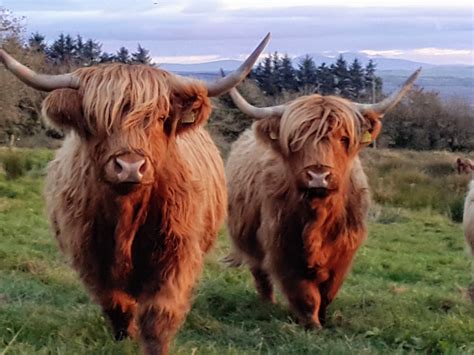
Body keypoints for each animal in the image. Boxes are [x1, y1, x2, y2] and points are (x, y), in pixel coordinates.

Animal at [0, 34, 270, 355]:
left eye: (159, 117)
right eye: (95, 119)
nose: (130, 167)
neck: (127, 215)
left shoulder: (176, 256)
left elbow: (158, 314)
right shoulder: (91, 256)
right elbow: (116, 302)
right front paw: (123, 336)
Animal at [224, 70, 420, 330]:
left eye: (344, 138)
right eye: (295, 140)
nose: (318, 176)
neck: (318, 217)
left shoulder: (344, 252)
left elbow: (328, 291)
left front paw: (324, 319)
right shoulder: (282, 250)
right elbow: (306, 295)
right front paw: (312, 325)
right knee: (260, 274)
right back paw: (267, 304)